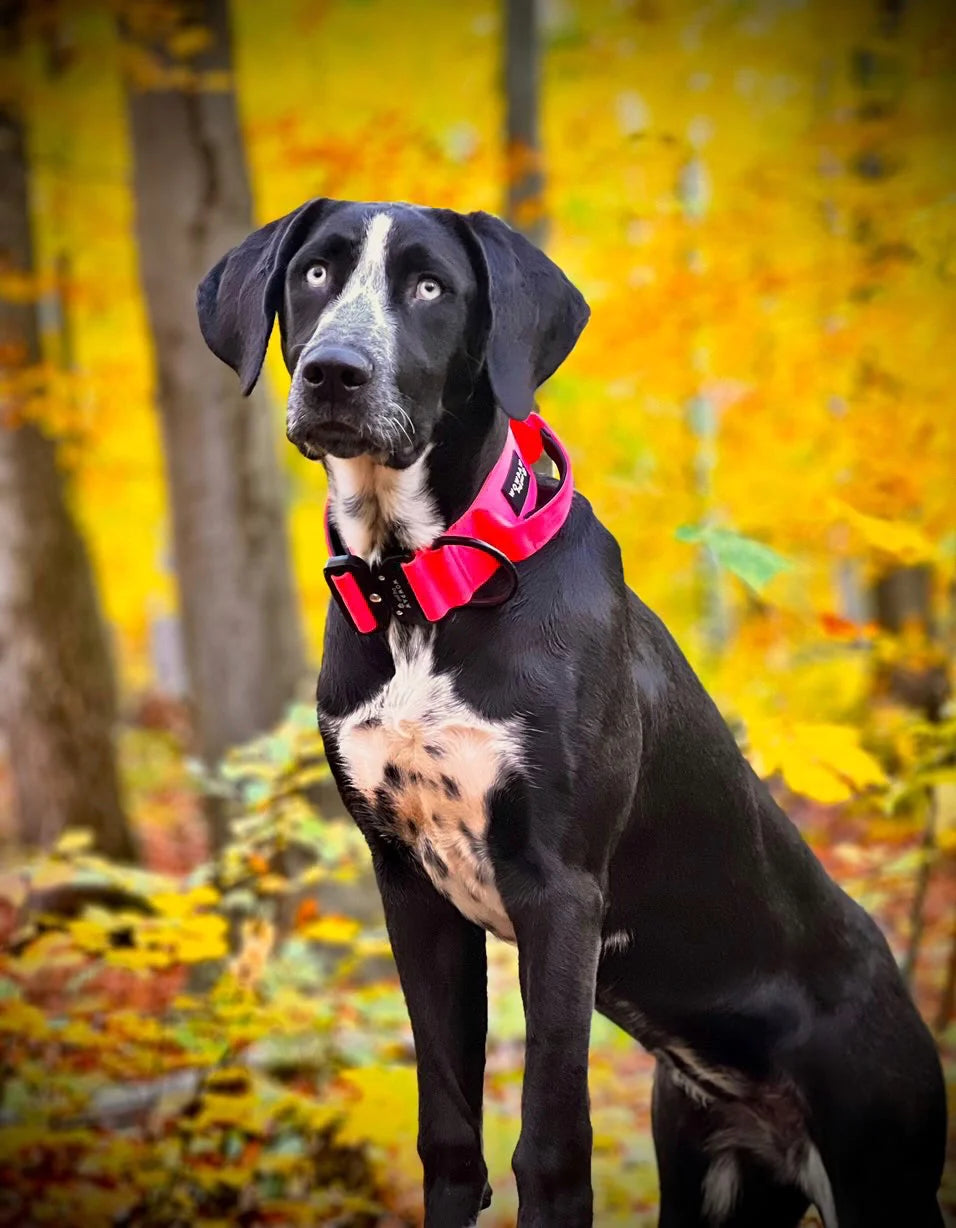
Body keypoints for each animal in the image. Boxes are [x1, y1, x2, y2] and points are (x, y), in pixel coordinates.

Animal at [197, 201, 947, 1228]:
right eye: (314, 273)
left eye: (430, 287)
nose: (335, 373)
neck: (423, 585)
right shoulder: (411, 888)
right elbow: (450, 1137)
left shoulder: (560, 890)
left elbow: (551, 1149)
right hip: (711, 1171)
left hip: (879, 1161)